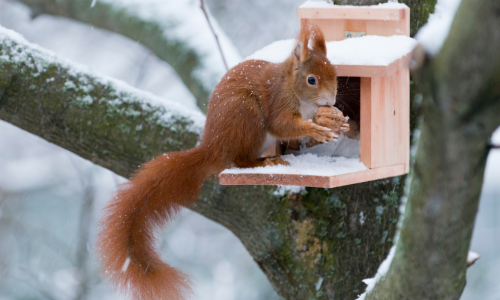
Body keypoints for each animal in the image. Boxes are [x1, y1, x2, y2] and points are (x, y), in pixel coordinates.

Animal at [96, 25, 348, 300]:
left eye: (335, 74)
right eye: (311, 80)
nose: (330, 101)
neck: (293, 89)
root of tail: (212, 147)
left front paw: (337, 124)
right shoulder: (278, 102)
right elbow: (282, 125)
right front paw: (315, 129)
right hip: (247, 117)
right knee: (239, 159)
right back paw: (263, 162)